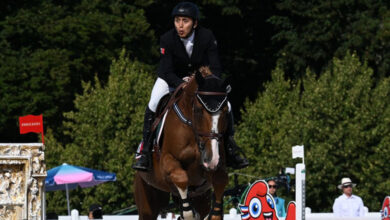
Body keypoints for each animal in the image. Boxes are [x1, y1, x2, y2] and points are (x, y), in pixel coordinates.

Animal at [135, 67, 230, 220]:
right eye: (198, 110)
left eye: (226, 112)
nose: (211, 159)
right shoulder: (168, 161)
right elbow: (181, 178)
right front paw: (189, 214)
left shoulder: (213, 169)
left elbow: (221, 180)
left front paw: (214, 215)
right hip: (147, 200)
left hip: (200, 197)